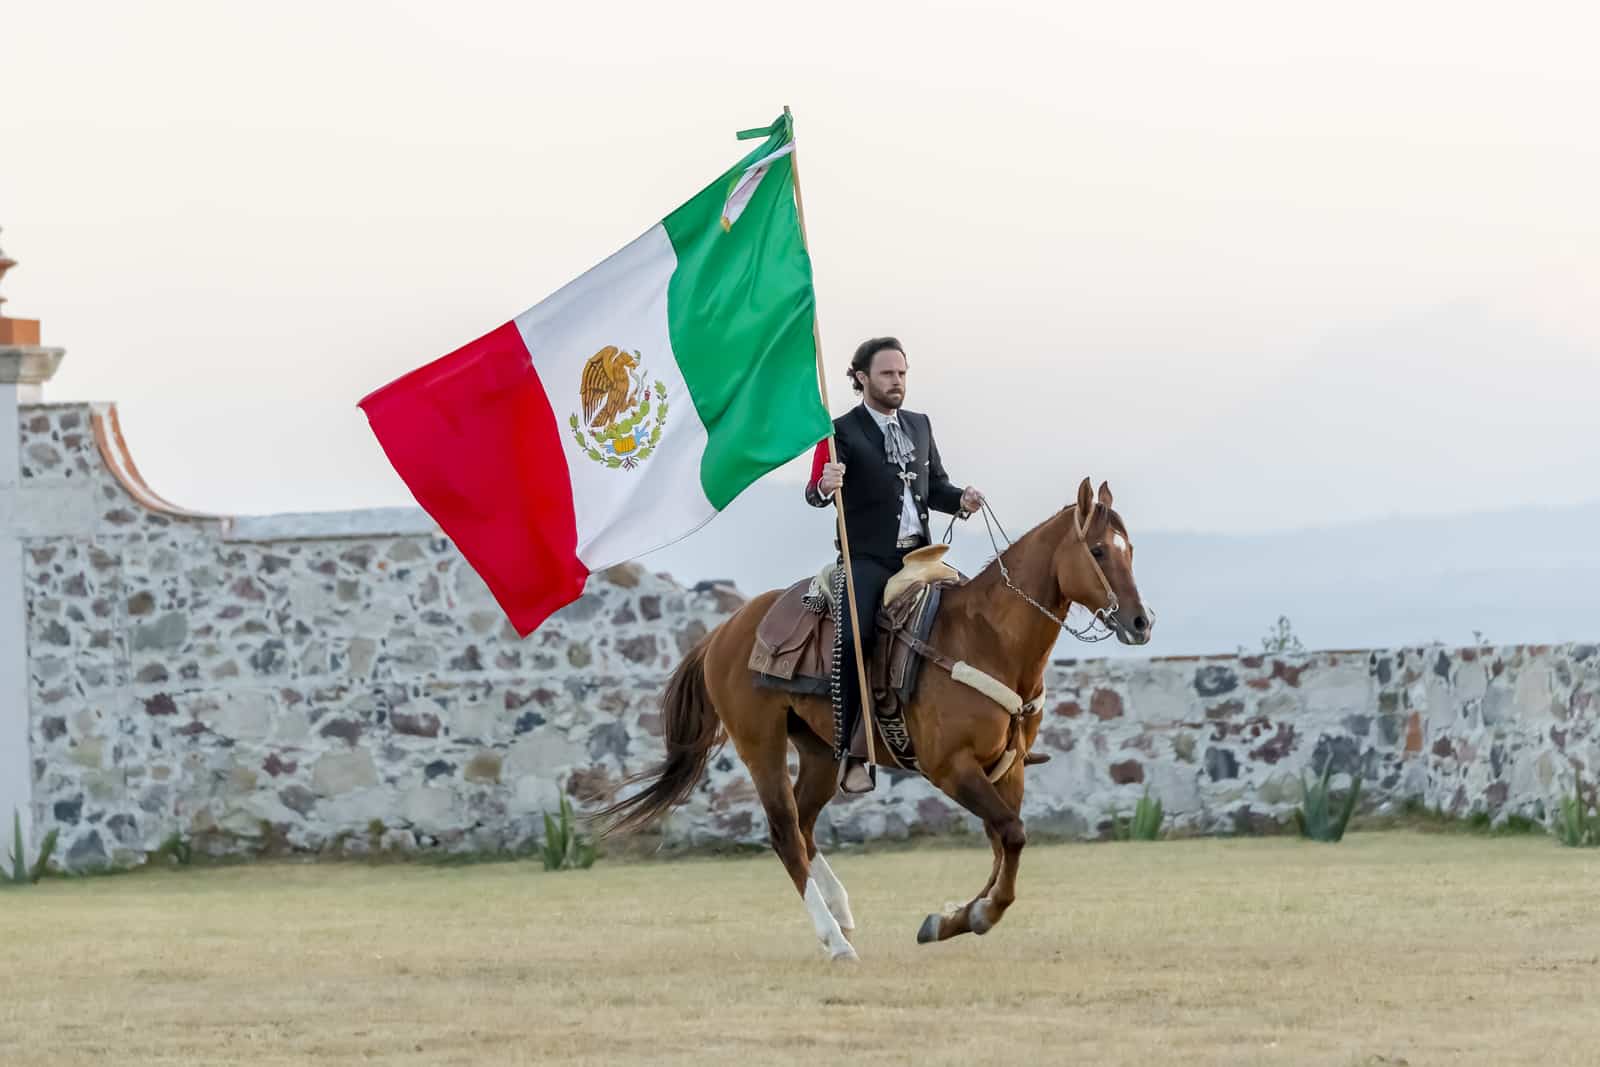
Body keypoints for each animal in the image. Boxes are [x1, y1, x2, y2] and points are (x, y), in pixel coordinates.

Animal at [598, 476, 1152, 959]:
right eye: (1098, 551)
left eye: (1129, 549)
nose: (1141, 623)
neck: (986, 638)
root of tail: (725, 631)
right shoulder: (952, 768)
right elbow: (1010, 835)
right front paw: (975, 915)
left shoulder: (1007, 767)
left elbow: (1004, 844)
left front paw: (952, 918)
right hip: (761, 745)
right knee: (784, 832)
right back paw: (835, 940)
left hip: (822, 752)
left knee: (805, 824)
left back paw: (841, 912)